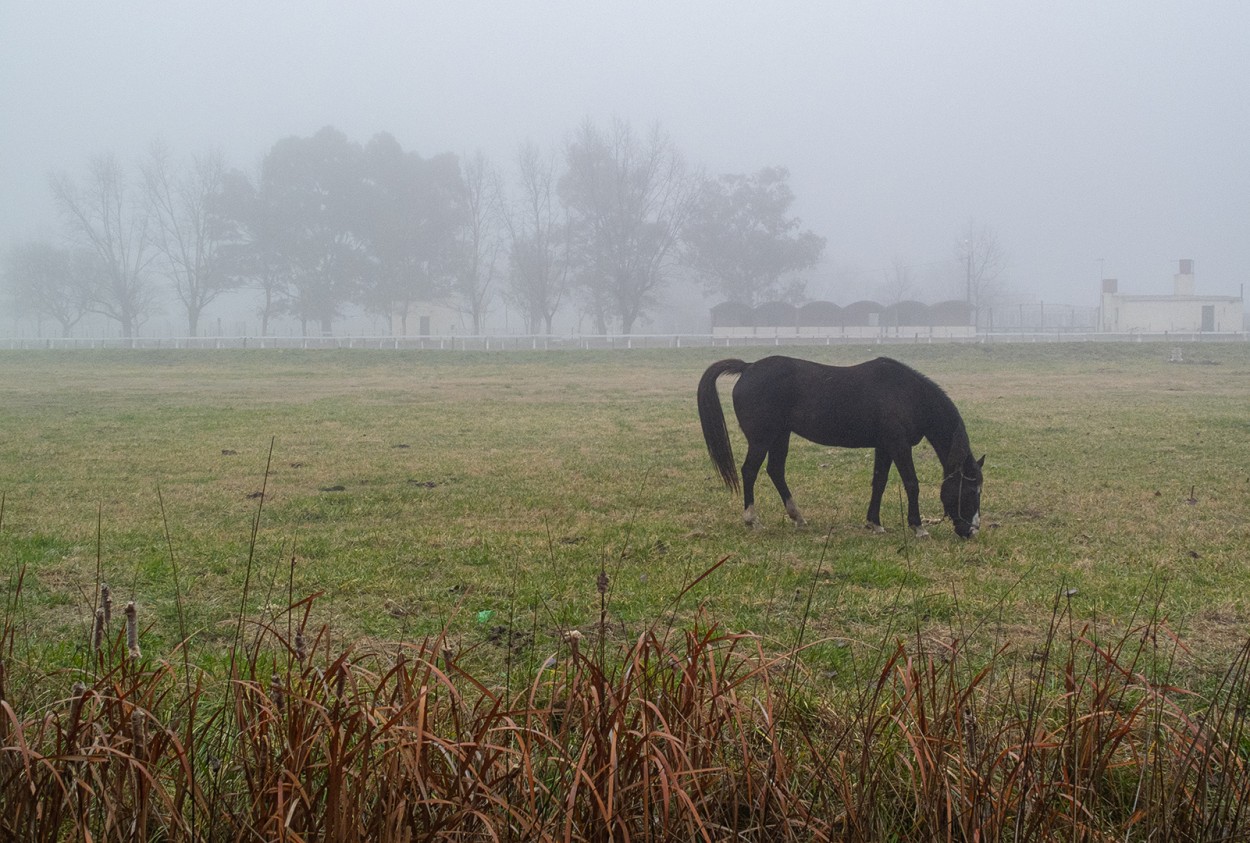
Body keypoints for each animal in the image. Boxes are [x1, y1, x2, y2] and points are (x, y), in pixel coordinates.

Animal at [700, 350, 980, 535]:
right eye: (970, 489)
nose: (971, 530)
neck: (908, 394)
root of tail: (748, 368)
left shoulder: (884, 446)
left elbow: (879, 482)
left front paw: (874, 523)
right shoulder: (898, 445)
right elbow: (911, 483)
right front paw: (918, 527)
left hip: (780, 435)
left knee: (775, 471)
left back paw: (798, 517)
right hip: (762, 439)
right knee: (749, 471)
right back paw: (752, 519)